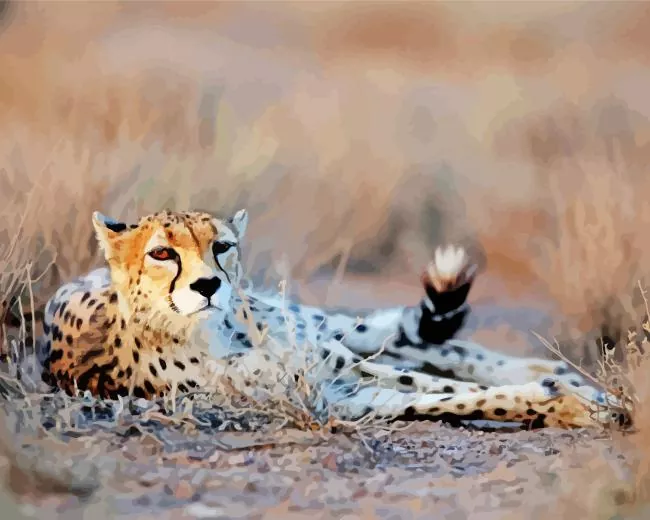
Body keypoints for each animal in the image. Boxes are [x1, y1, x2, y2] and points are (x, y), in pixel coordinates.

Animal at [37, 209, 632, 430]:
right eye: (162, 253)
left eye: (221, 246)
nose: (209, 285)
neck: (218, 336)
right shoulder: (338, 397)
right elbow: (447, 397)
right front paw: (570, 404)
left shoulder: (335, 369)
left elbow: (436, 382)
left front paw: (583, 394)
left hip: (326, 329)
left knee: (436, 348)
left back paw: (559, 371)